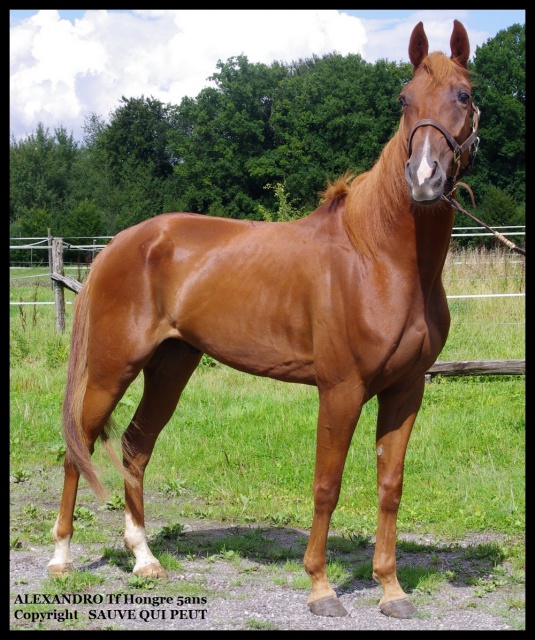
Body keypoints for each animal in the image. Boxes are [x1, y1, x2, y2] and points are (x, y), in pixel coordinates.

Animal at [49, 21, 482, 620]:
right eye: (403, 99)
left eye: (462, 95)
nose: (423, 178)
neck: (380, 257)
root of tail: (120, 243)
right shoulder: (341, 388)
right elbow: (327, 484)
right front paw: (322, 588)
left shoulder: (406, 389)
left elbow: (390, 485)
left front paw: (391, 589)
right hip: (114, 367)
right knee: (81, 445)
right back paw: (61, 557)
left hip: (171, 365)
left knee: (136, 446)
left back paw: (144, 559)